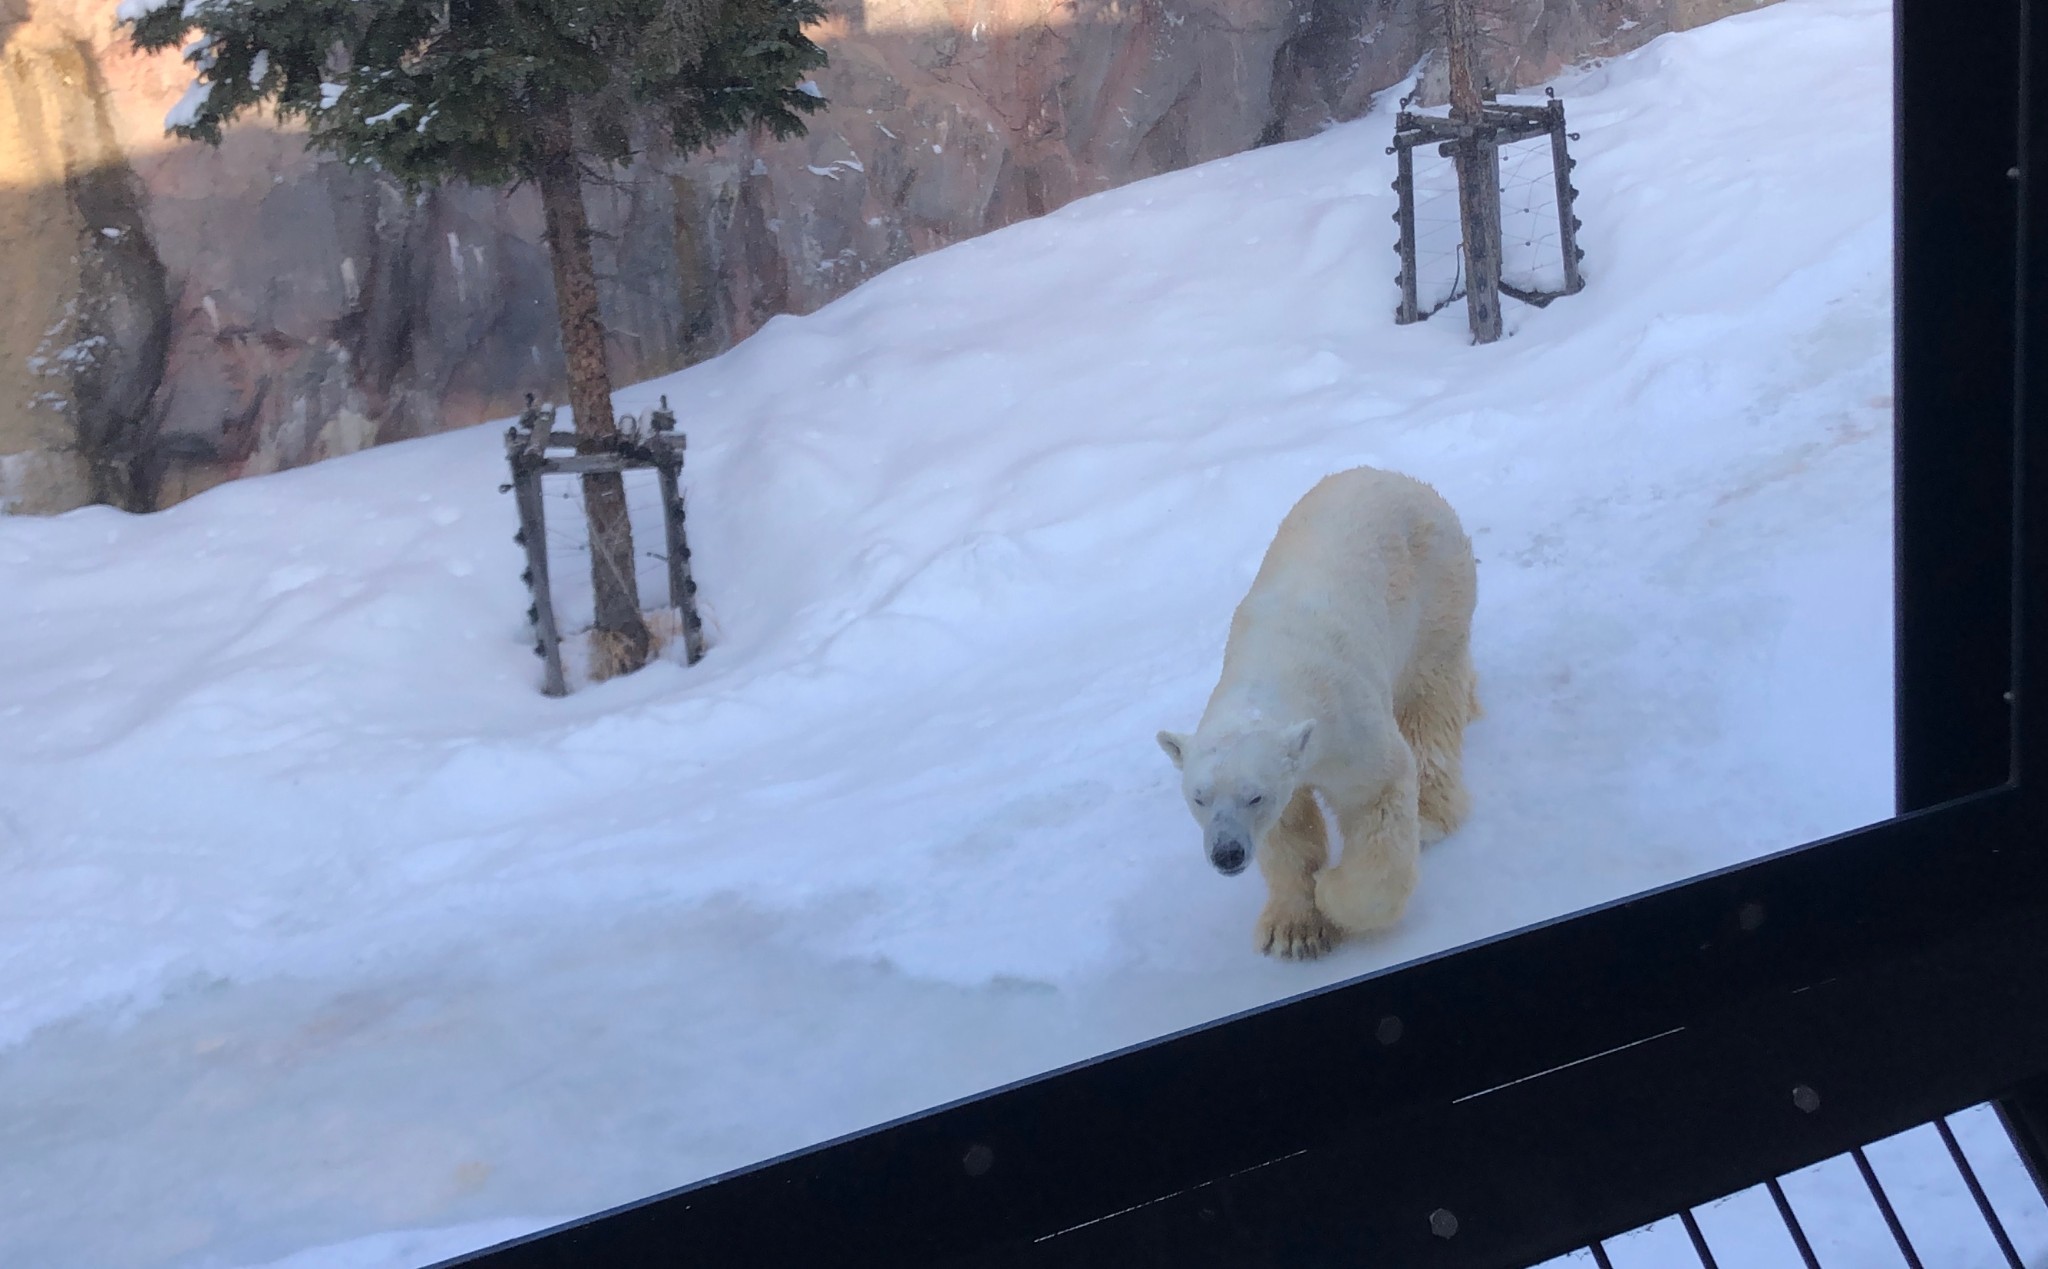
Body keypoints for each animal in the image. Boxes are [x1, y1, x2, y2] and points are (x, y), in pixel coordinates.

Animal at [1163, 470, 1482, 957]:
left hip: (1436, 596)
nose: (1227, 853)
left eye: (1254, 796)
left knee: (1429, 707)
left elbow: (1378, 794)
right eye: (1198, 797)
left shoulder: (1349, 725)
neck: (1273, 665)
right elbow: (1289, 830)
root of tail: (1401, 478)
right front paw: (1294, 932)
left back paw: (1430, 814)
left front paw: (1331, 892)